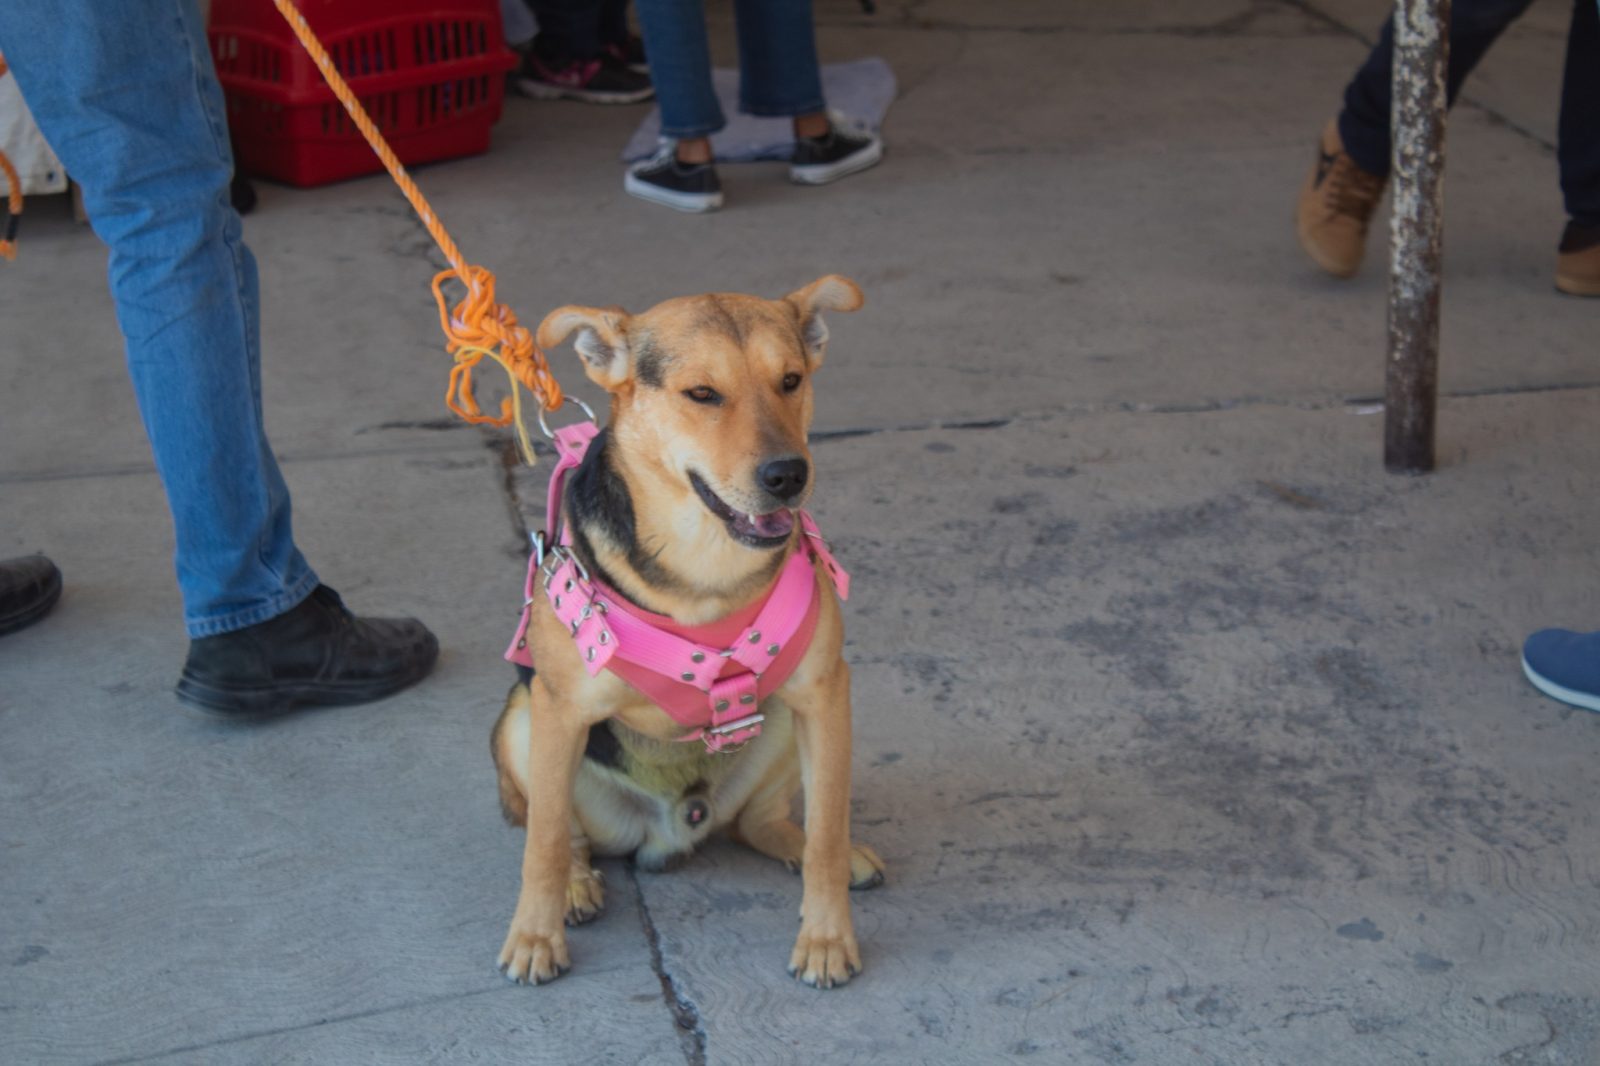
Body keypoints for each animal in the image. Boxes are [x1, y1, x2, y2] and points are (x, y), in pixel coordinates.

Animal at [489, 273, 883, 985]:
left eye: (790, 380)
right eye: (702, 394)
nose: (789, 475)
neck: (706, 563)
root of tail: (674, 827)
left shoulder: (824, 694)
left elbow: (827, 832)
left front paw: (826, 937)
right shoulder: (560, 710)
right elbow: (544, 843)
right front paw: (534, 935)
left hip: (782, 727)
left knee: (763, 823)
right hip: (522, 721)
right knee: (559, 829)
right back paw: (577, 884)